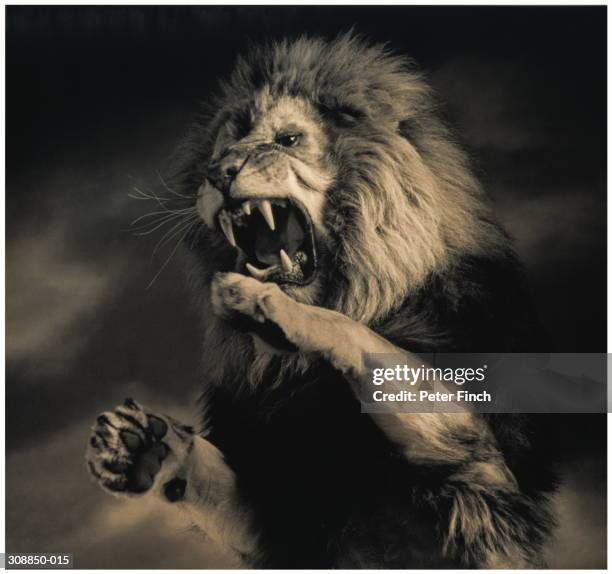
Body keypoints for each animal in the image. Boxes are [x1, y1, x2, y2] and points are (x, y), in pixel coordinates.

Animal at [86, 36, 560, 572]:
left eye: (288, 139)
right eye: (223, 148)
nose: (220, 172)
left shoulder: (485, 465)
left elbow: (351, 332)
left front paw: (261, 303)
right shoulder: (276, 520)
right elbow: (207, 475)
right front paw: (142, 445)